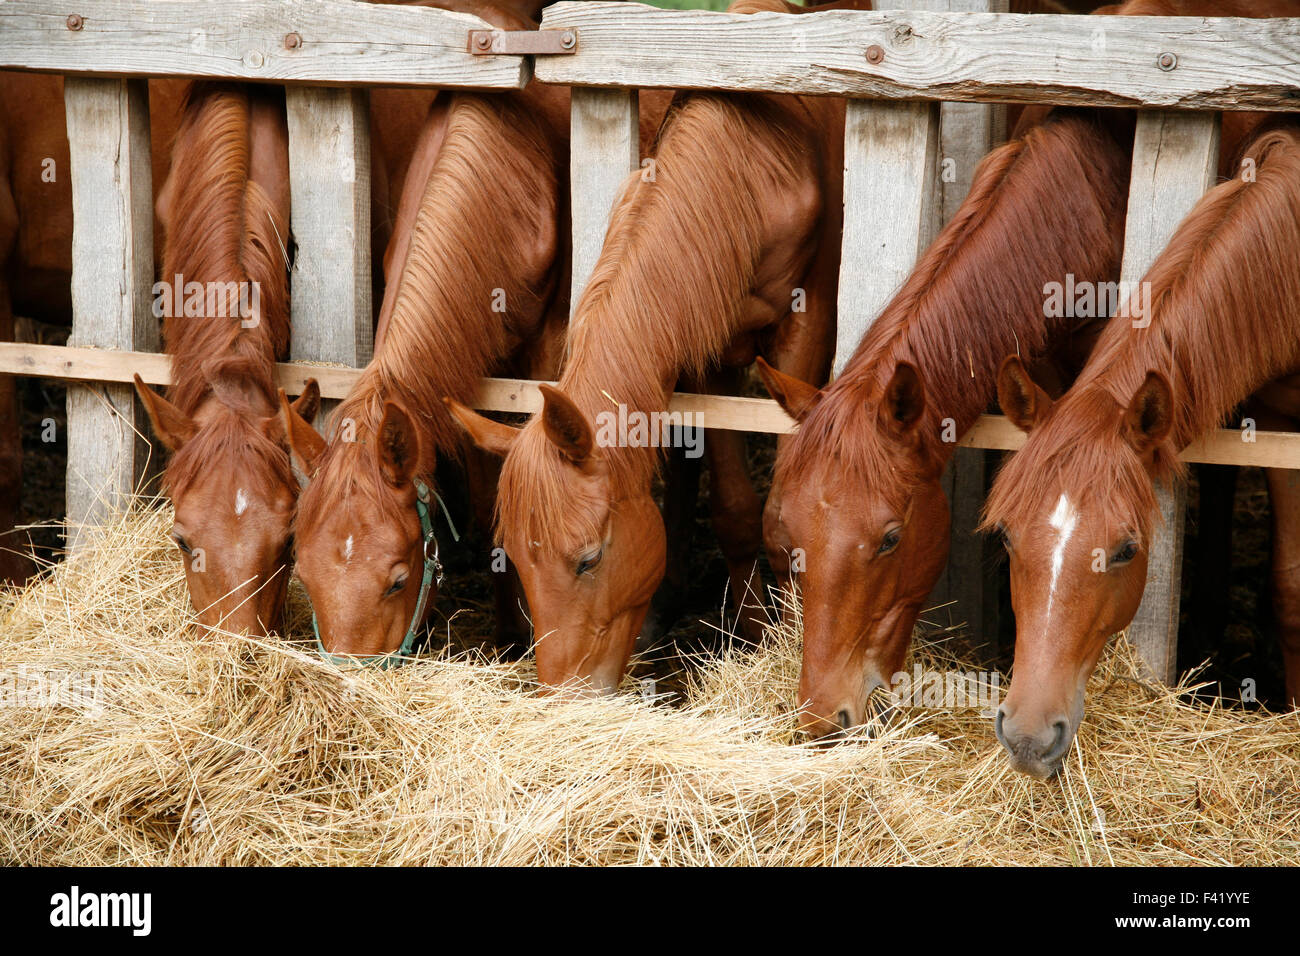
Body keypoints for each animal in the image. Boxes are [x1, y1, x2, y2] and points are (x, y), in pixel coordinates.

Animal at [447, 0, 856, 694]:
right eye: (521, 566)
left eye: (587, 560)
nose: (564, 695)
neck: (755, 169)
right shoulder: (712, 347)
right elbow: (735, 510)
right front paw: (749, 632)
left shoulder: (804, 333)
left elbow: (782, 515)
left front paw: (783, 633)